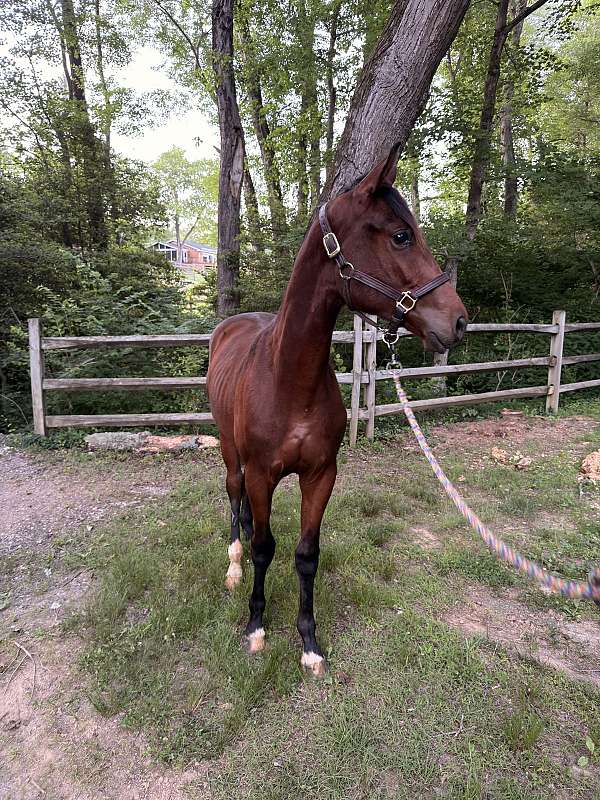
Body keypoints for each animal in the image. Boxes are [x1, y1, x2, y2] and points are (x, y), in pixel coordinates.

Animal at [207, 145, 468, 676]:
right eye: (401, 235)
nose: (458, 321)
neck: (288, 380)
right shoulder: (262, 473)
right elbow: (265, 549)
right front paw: (256, 626)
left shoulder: (321, 473)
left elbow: (307, 554)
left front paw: (309, 642)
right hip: (229, 451)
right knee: (234, 499)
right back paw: (233, 564)